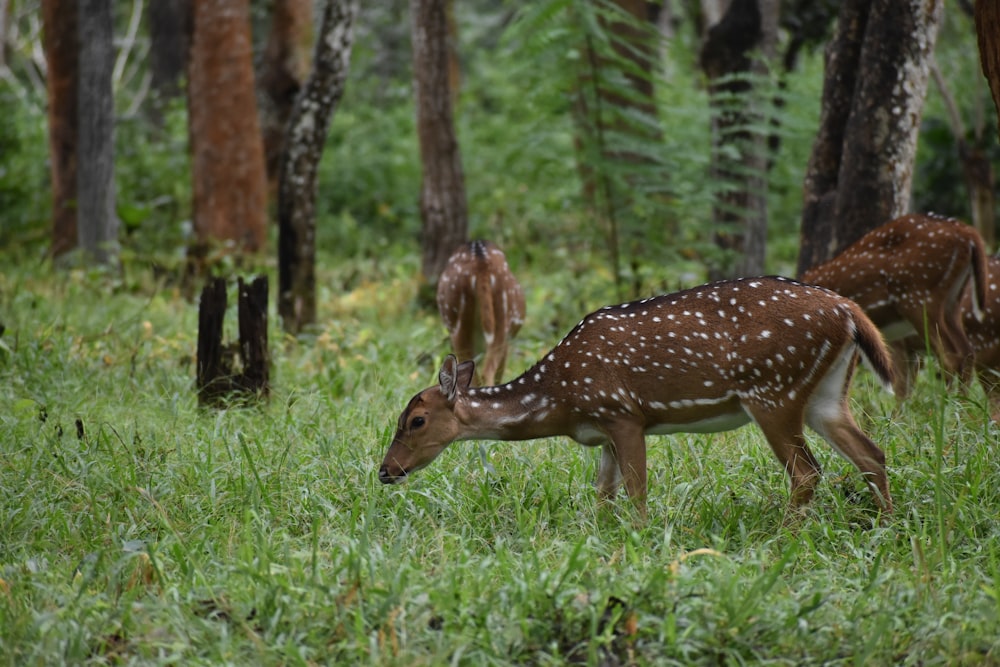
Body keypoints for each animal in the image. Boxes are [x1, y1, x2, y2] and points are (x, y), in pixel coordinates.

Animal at [378, 276, 896, 516]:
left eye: (415, 420)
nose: (385, 471)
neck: (561, 399)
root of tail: (849, 311)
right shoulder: (604, 430)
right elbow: (604, 494)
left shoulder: (622, 412)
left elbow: (636, 489)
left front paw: (642, 541)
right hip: (825, 393)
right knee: (872, 453)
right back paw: (888, 526)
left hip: (773, 389)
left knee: (807, 472)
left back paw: (785, 539)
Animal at [800, 213, 988, 396]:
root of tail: (969, 234)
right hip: (952, 301)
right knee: (966, 351)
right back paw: (962, 403)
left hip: (918, 296)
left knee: (950, 357)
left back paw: (946, 402)